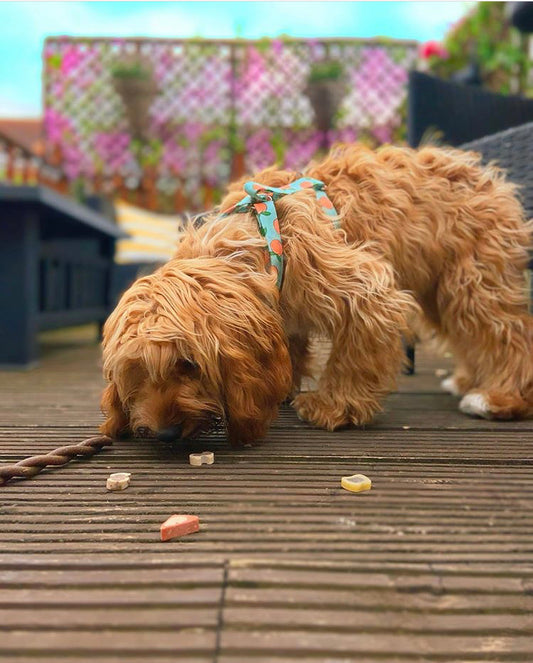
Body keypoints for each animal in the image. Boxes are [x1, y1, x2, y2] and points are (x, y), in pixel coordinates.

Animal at [101, 146, 532, 446]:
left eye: (189, 365)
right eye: (136, 371)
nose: (166, 434)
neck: (263, 238)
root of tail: (489, 177)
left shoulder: (366, 291)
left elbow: (354, 354)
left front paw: (334, 406)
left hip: (472, 281)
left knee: (508, 333)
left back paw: (498, 396)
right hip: (440, 287)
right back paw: (469, 381)